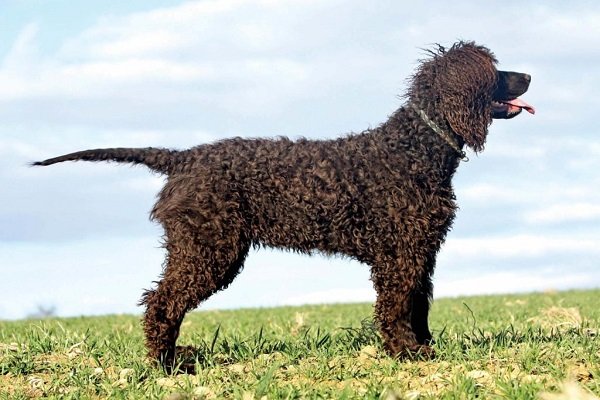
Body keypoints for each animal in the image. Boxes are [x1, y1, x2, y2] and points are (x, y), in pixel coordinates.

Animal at [34, 41, 536, 368]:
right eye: (495, 70)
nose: (531, 75)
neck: (414, 147)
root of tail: (183, 157)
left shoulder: (421, 250)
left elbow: (418, 304)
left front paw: (424, 347)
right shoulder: (399, 253)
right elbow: (396, 305)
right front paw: (406, 354)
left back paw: (175, 358)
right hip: (208, 249)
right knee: (161, 302)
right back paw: (165, 365)